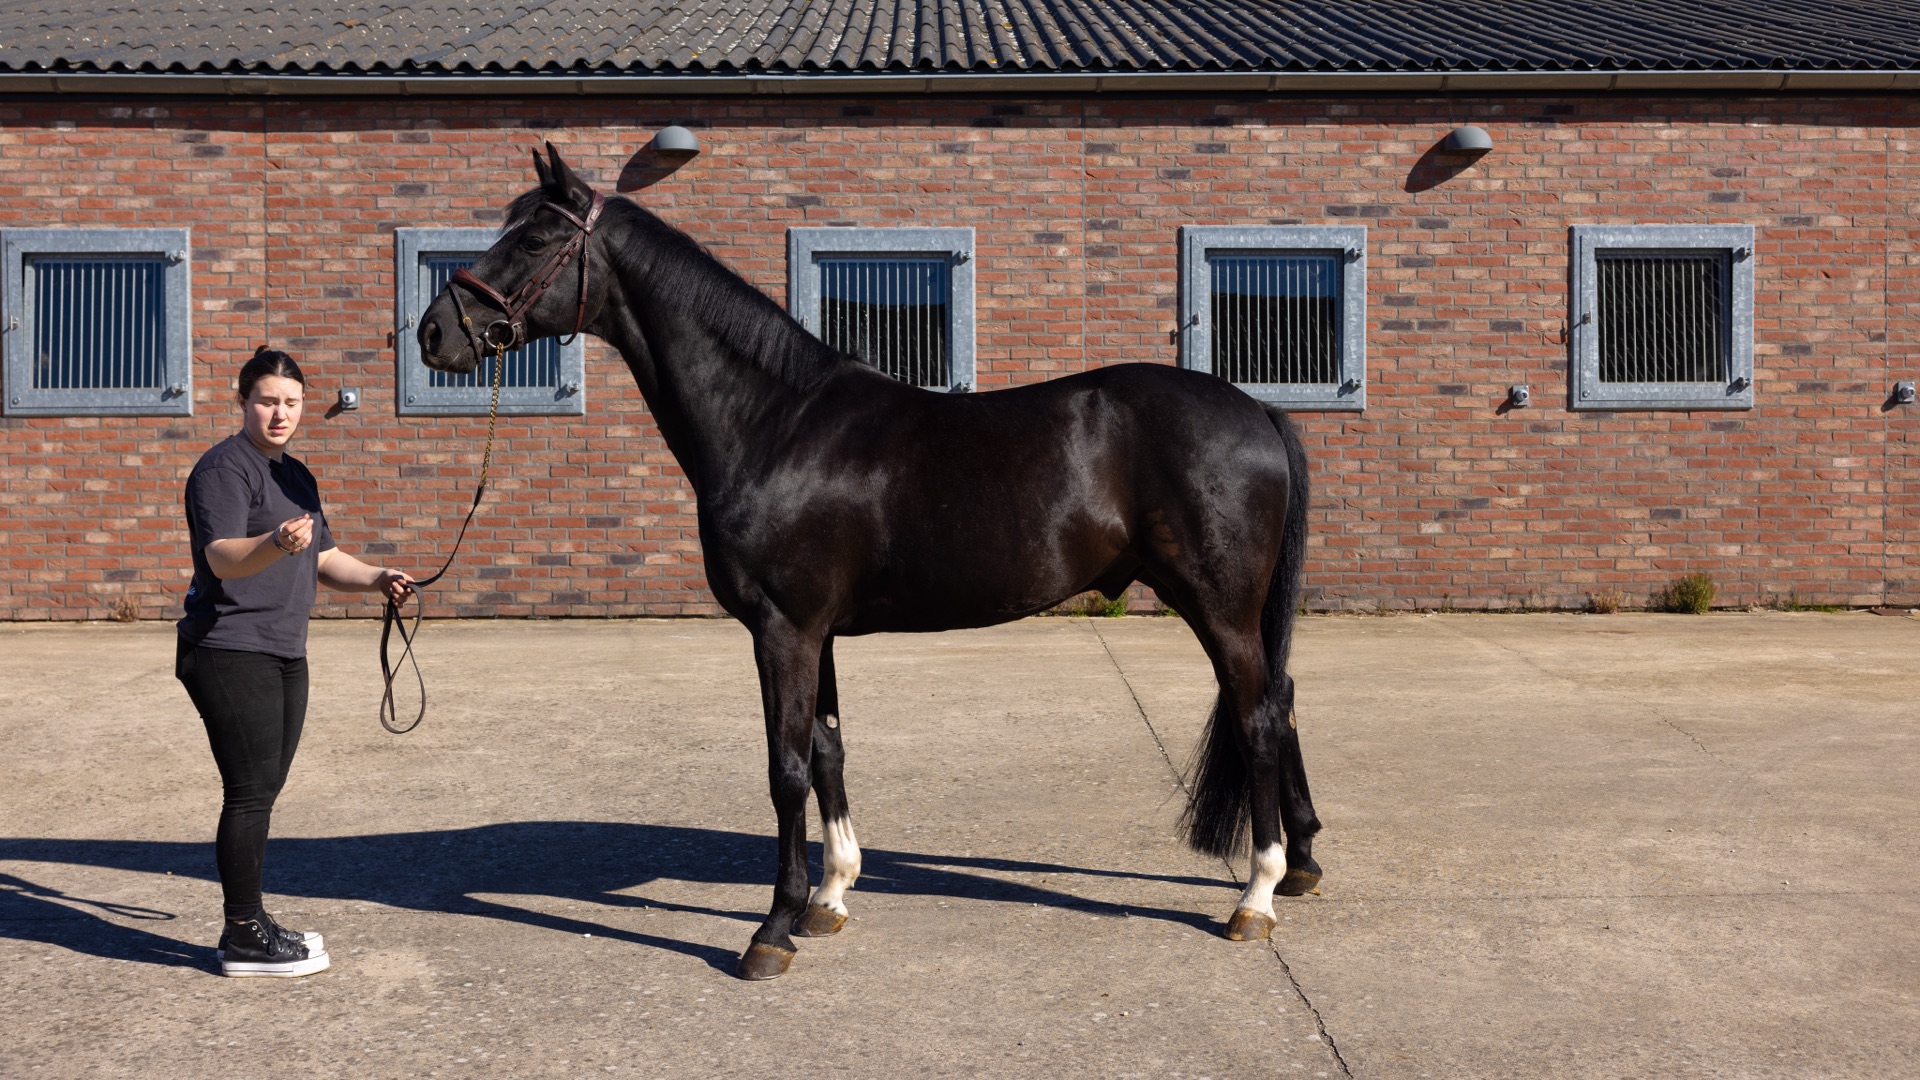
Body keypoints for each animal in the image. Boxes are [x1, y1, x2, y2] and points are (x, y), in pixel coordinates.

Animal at [417, 144, 1323, 980]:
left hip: (1218, 603)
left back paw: (1256, 898)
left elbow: (785, 768)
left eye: (535, 238)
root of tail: (1256, 409)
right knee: (1278, 701)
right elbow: (827, 750)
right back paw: (1302, 864)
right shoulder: (814, 632)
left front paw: (771, 930)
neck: (775, 423)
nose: (434, 333)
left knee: (1257, 716)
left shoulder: (782, 627)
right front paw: (830, 895)